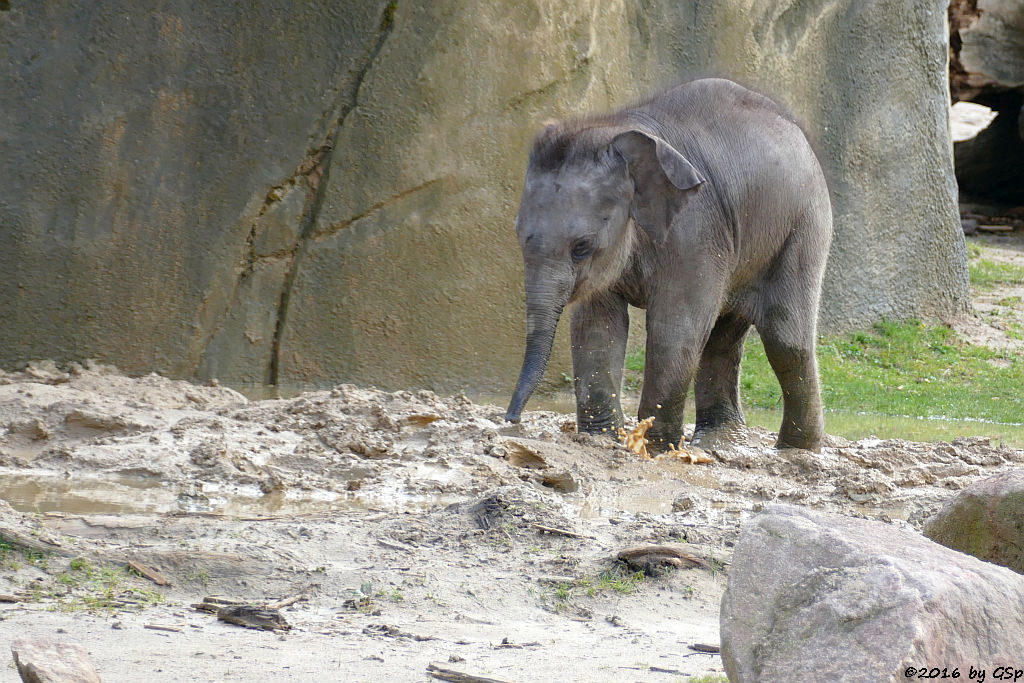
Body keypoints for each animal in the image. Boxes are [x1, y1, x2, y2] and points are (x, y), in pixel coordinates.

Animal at [503, 77, 831, 454]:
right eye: (518, 234)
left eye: (581, 247)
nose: (511, 422)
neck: (618, 131)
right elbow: (596, 324)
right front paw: (600, 439)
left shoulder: (694, 229)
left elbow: (674, 327)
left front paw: (653, 447)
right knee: (722, 335)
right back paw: (720, 441)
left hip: (804, 225)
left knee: (784, 337)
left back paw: (796, 449)